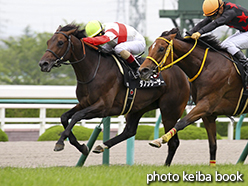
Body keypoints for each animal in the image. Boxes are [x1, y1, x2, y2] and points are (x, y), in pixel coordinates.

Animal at [38, 24, 190, 166]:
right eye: (48, 42)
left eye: (60, 42)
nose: (43, 63)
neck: (94, 70)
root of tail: (183, 74)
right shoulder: (85, 103)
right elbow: (64, 117)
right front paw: (82, 147)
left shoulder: (103, 107)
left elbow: (76, 116)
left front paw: (60, 143)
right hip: (138, 107)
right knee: (130, 131)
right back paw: (101, 146)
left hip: (170, 111)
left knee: (173, 142)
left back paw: (166, 166)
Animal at [140, 27, 246, 166]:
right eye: (150, 47)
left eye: (161, 48)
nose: (142, 70)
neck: (207, 66)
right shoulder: (208, 114)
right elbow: (212, 144)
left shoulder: (206, 104)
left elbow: (181, 123)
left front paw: (160, 139)